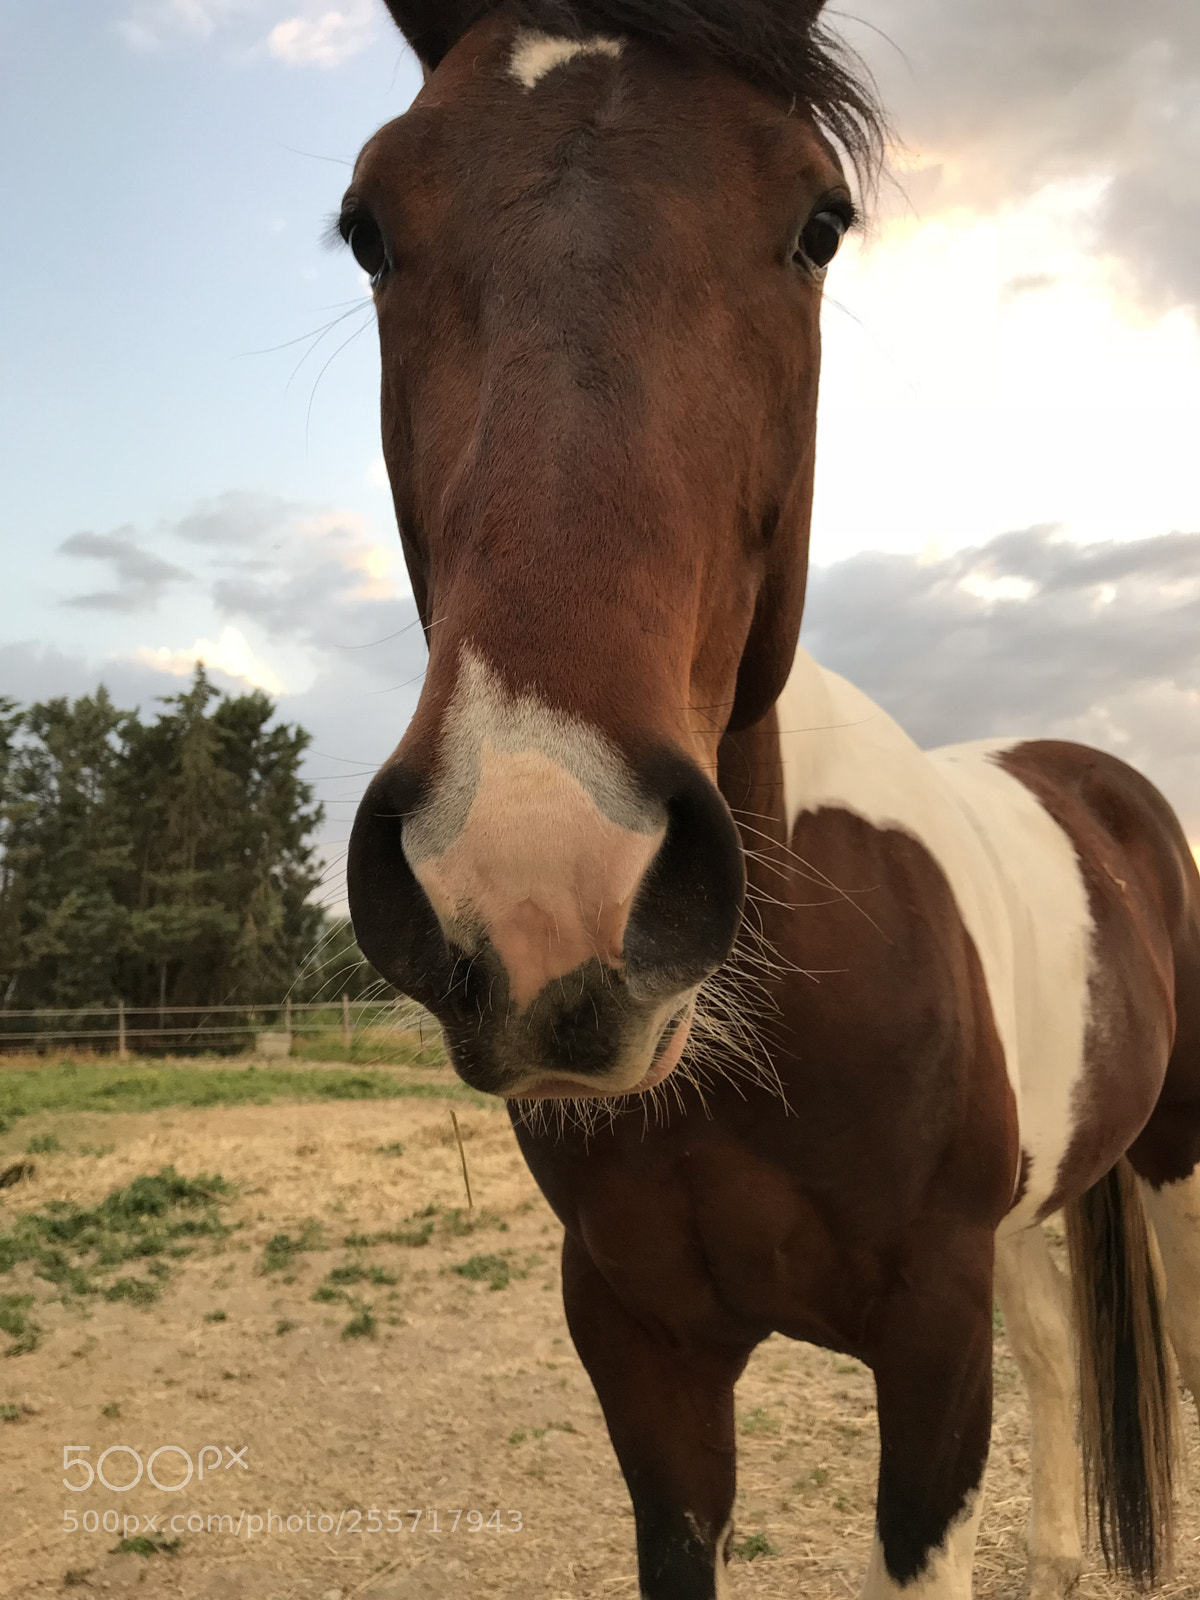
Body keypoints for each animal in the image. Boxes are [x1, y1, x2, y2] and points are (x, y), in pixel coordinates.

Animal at [341, 4, 1200, 1596]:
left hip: (1175, 1160)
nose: (542, 874)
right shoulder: (644, 1354)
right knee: (1065, 1351)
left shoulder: (932, 1345)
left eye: (819, 224)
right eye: (370, 226)